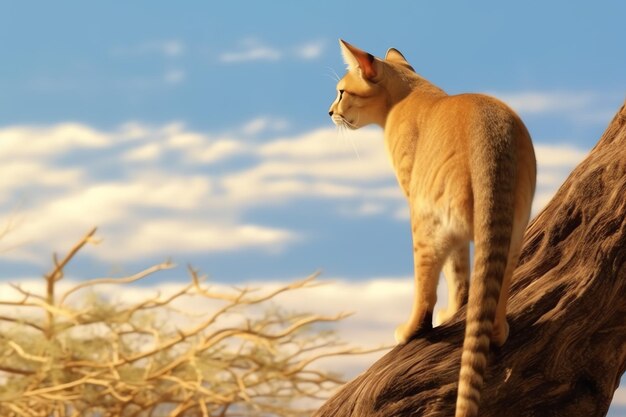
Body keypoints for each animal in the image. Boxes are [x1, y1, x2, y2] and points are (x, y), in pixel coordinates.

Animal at [326, 40, 536, 416]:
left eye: (341, 92)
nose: (328, 111)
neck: (410, 90)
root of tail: (491, 136)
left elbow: (453, 270)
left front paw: (449, 312)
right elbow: (463, 272)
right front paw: (458, 309)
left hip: (426, 221)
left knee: (426, 291)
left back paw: (409, 330)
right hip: (514, 224)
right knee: (498, 282)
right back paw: (498, 330)